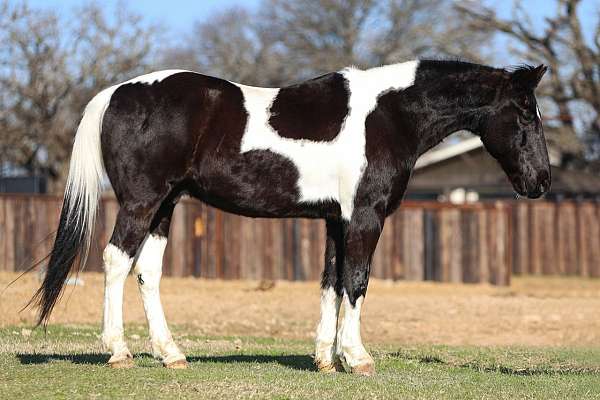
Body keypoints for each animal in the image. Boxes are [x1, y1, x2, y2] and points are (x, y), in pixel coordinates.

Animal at [30, 58, 552, 376]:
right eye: (527, 114)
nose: (541, 181)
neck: (387, 115)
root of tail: (116, 93)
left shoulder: (335, 220)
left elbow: (330, 281)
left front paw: (326, 358)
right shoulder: (365, 217)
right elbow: (356, 281)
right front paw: (357, 358)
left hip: (166, 205)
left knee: (148, 272)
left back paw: (171, 354)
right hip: (142, 202)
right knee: (116, 261)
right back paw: (119, 352)